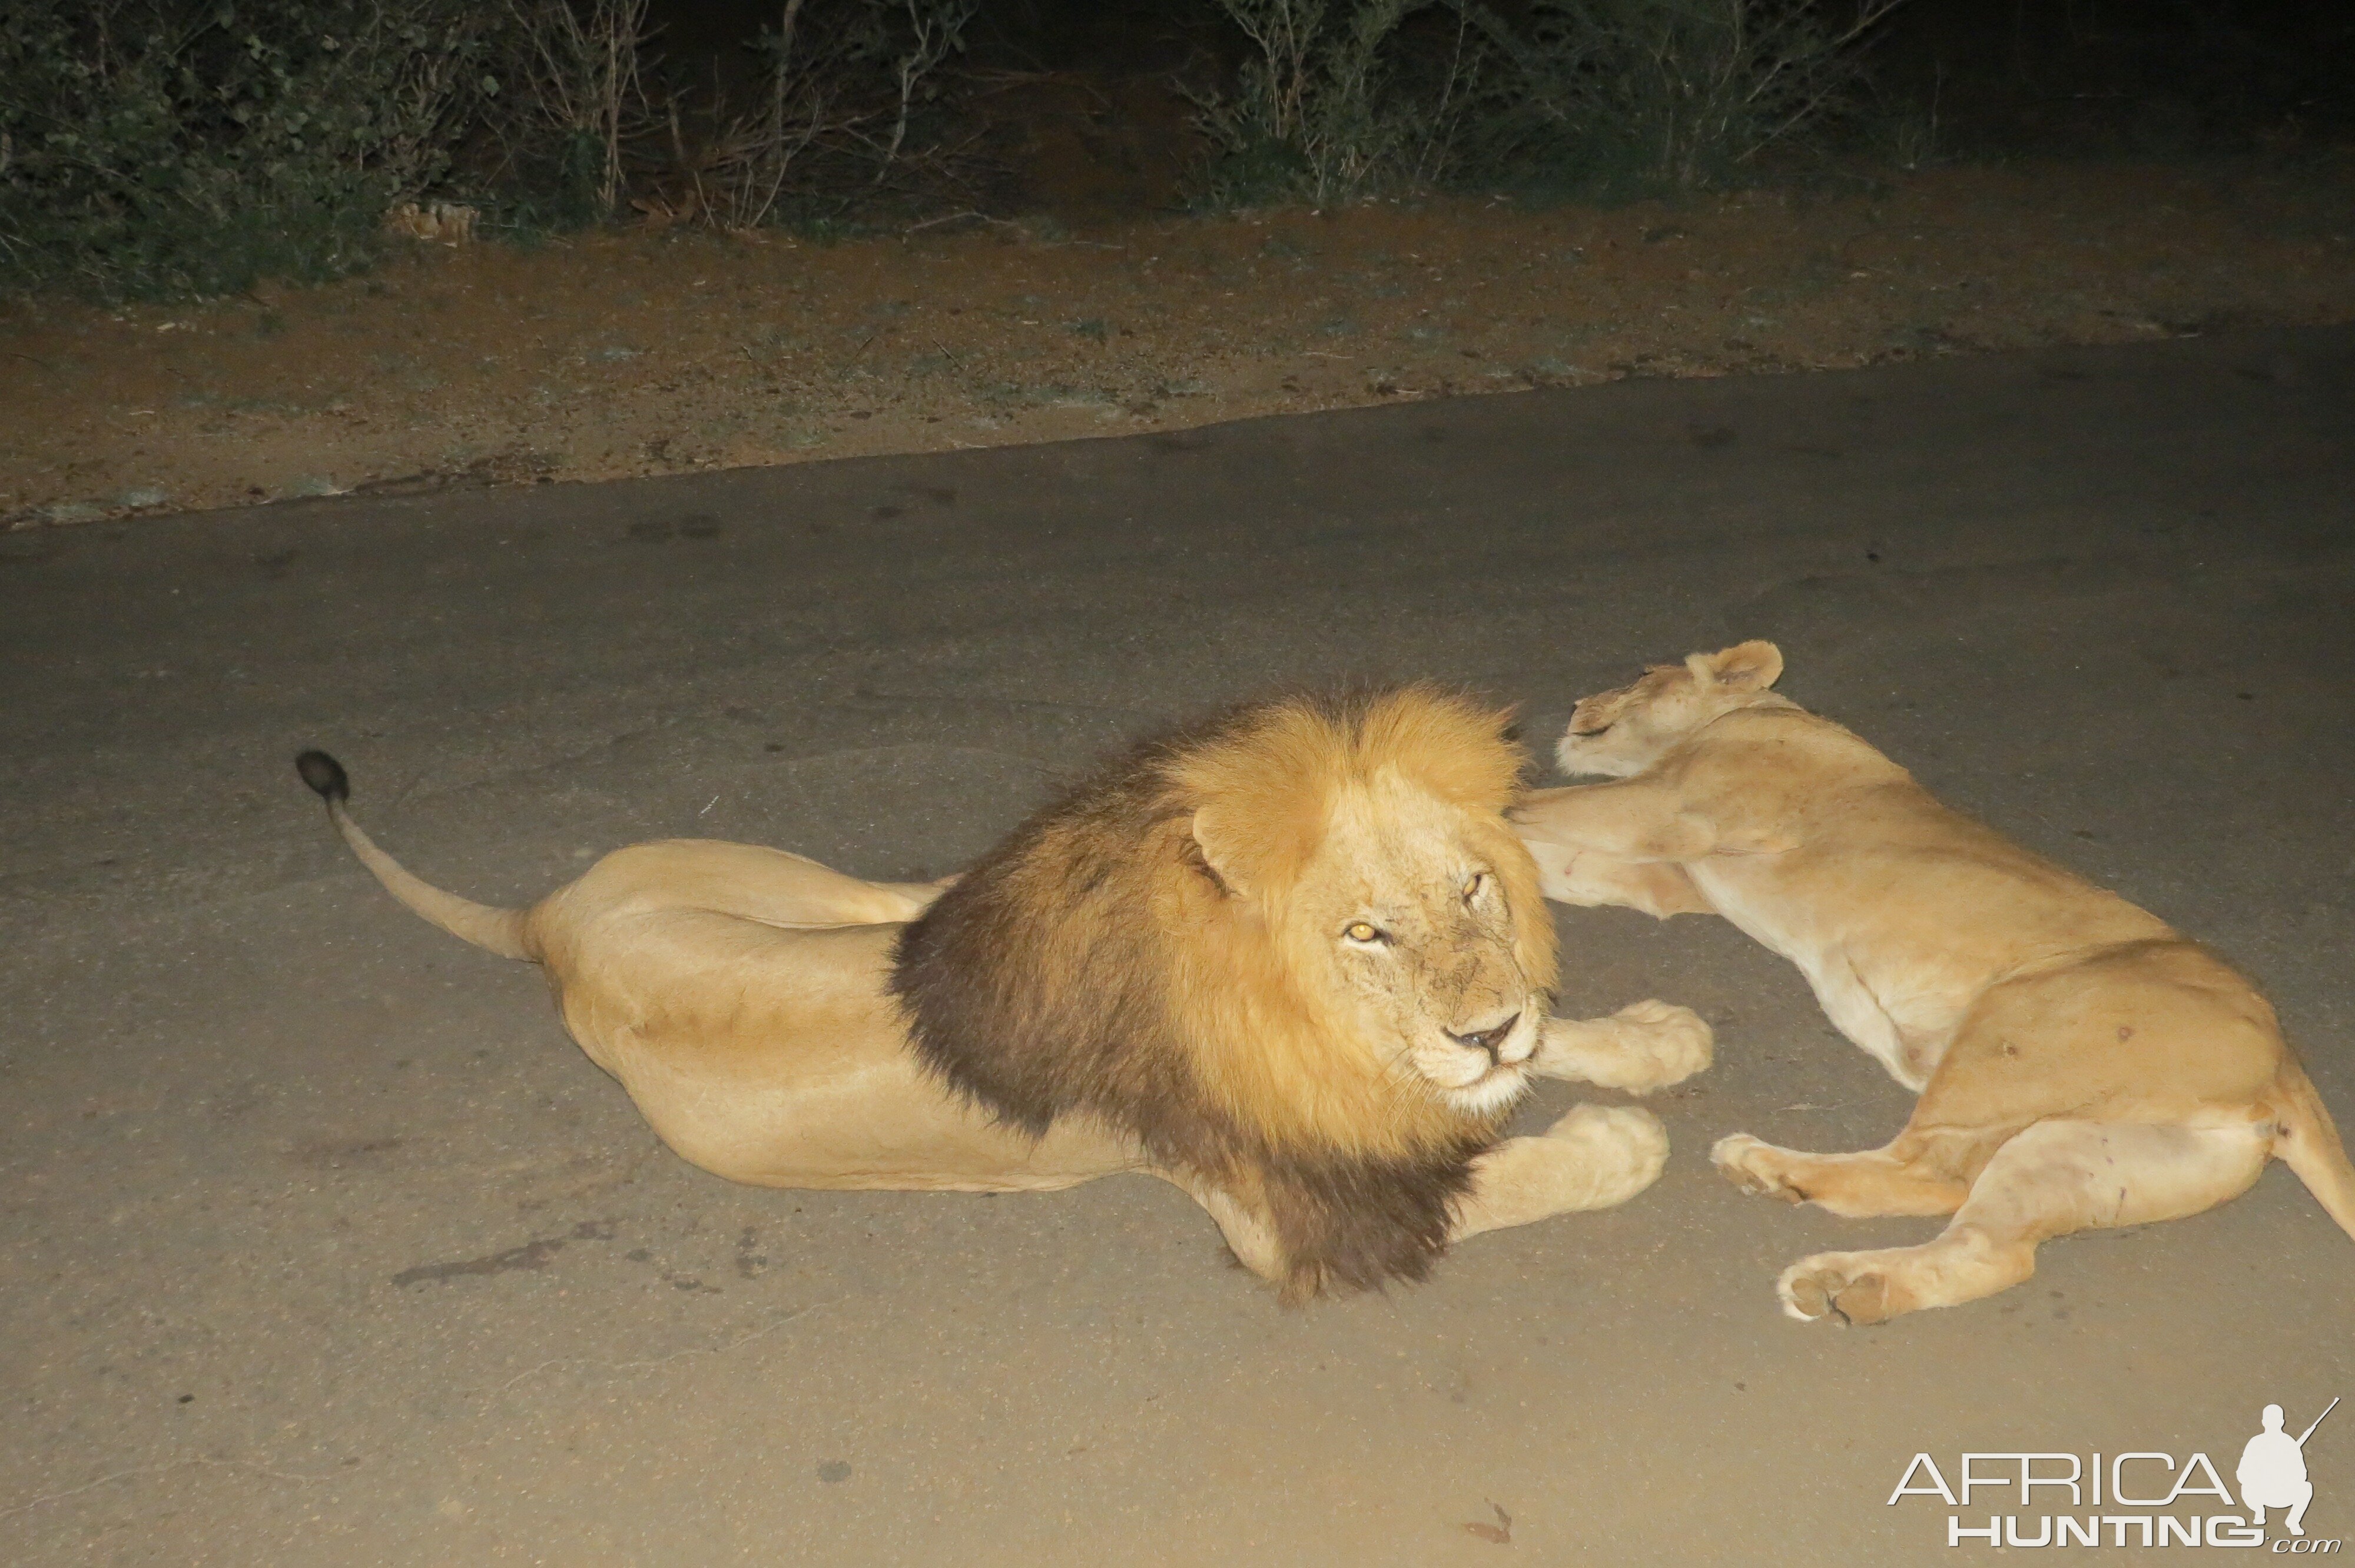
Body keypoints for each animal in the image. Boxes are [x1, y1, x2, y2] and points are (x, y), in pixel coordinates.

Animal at [309, 683, 1714, 1290]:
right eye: (1365, 931)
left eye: (1473, 887)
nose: (1487, 1026)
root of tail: (550, 923)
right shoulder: (1267, 1207)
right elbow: (1501, 1174)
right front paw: (1615, 1135)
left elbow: (1530, 1053)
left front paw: (1646, 1038)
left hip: (822, 893)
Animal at [1507, 645, 2355, 1318]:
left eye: (1641, 674)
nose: (1576, 706)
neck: (1754, 712)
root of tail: (2285, 1062)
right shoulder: (1664, 875)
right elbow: (1542, 856)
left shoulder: (1660, 807)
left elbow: (1525, 811)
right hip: (2086, 1147)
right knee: (1985, 1239)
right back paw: (1845, 1286)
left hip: (2016, 1025)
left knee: (1925, 1170)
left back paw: (1765, 1171)